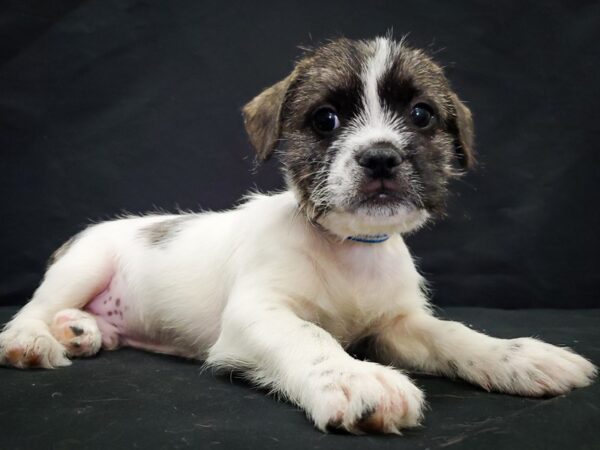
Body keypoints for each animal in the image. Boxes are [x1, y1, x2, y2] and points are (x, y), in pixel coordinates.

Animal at [0, 37, 596, 434]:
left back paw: (81, 331)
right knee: (32, 308)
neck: (349, 249)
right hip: (84, 264)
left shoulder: (398, 325)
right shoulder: (256, 315)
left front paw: (518, 356)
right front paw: (356, 379)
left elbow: (454, 336)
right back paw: (33, 340)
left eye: (422, 115)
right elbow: (310, 337)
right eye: (325, 119)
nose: (381, 156)